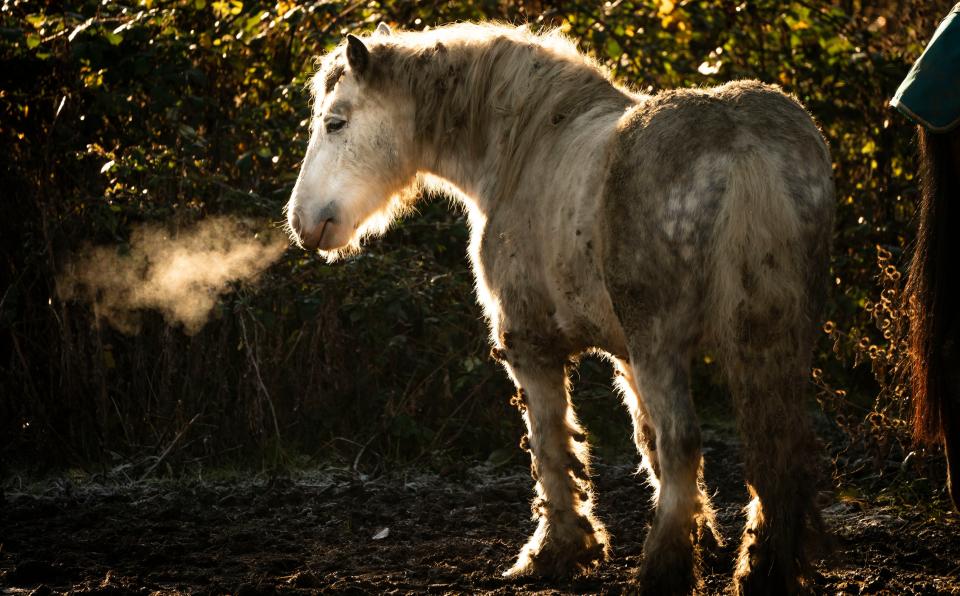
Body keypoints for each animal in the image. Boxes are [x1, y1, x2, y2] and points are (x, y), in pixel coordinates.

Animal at [284, 21, 832, 592]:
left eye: (335, 122)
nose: (302, 221)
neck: (525, 145)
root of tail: (741, 145)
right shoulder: (626, 357)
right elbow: (647, 442)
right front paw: (702, 534)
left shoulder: (531, 345)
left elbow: (552, 446)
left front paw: (555, 551)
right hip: (773, 342)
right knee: (776, 447)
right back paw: (764, 569)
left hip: (663, 343)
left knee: (686, 441)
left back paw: (662, 571)